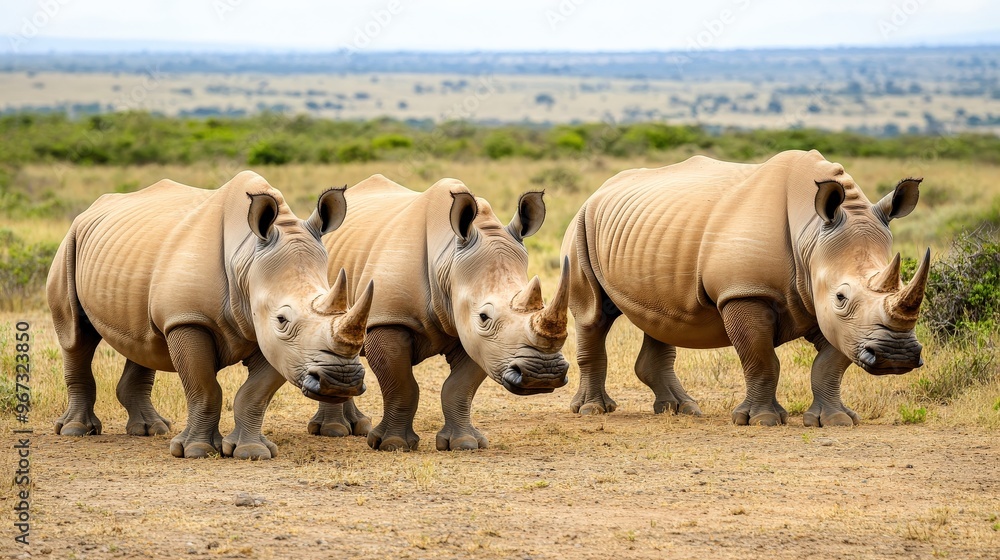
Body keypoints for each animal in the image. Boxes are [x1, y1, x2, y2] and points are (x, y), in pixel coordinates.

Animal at [46, 171, 373, 459]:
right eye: (282, 320)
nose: (341, 380)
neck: (247, 259)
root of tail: (91, 209)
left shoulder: (277, 343)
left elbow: (255, 394)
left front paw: (251, 452)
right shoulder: (189, 319)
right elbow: (204, 389)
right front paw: (196, 451)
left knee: (144, 341)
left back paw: (152, 429)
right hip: (70, 243)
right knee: (76, 336)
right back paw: (75, 430)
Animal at [306, 174, 571, 451]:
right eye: (484, 317)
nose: (543, 375)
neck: (448, 260)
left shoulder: (475, 337)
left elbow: (459, 387)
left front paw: (465, 443)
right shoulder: (389, 319)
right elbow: (401, 386)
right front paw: (393, 444)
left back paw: (355, 427)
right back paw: (333, 431)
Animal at [562, 150, 930, 426]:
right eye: (842, 297)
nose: (896, 357)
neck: (811, 235)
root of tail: (600, 189)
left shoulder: (832, 312)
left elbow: (830, 363)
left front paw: (837, 420)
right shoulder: (746, 292)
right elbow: (761, 358)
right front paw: (762, 420)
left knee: (660, 318)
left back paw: (682, 410)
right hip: (581, 223)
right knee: (593, 314)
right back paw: (593, 410)